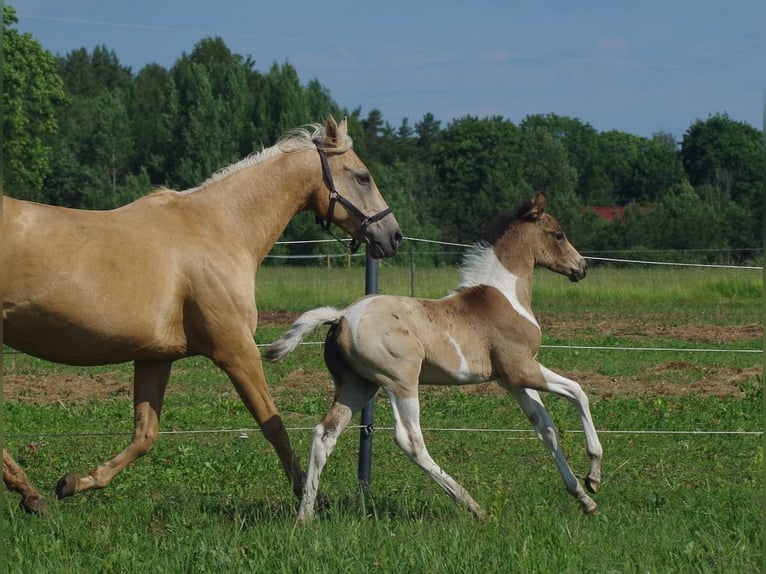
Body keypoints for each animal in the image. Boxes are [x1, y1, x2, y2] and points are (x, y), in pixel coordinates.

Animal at [1, 115, 402, 516]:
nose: (393, 236)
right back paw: (28, 492)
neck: (219, 228)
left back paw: (30, 493)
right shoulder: (237, 350)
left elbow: (144, 435)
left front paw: (75, 482)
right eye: (363, 176)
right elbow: (273, 425)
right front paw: (310, 496)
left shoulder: (154, 358)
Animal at [270, 194, 608, 520]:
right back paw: (472, 506)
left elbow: (546, 429)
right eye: (558, 234)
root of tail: (340, 316)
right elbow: (578, 391)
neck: (504, 296)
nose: (582, 267)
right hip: (401, 382)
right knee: (410, 440)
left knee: (324, 434)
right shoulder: (522, 368)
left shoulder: (511, 381)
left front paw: (584, 498)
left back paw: (305, 516)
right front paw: (593, 476)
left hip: (357, 386)